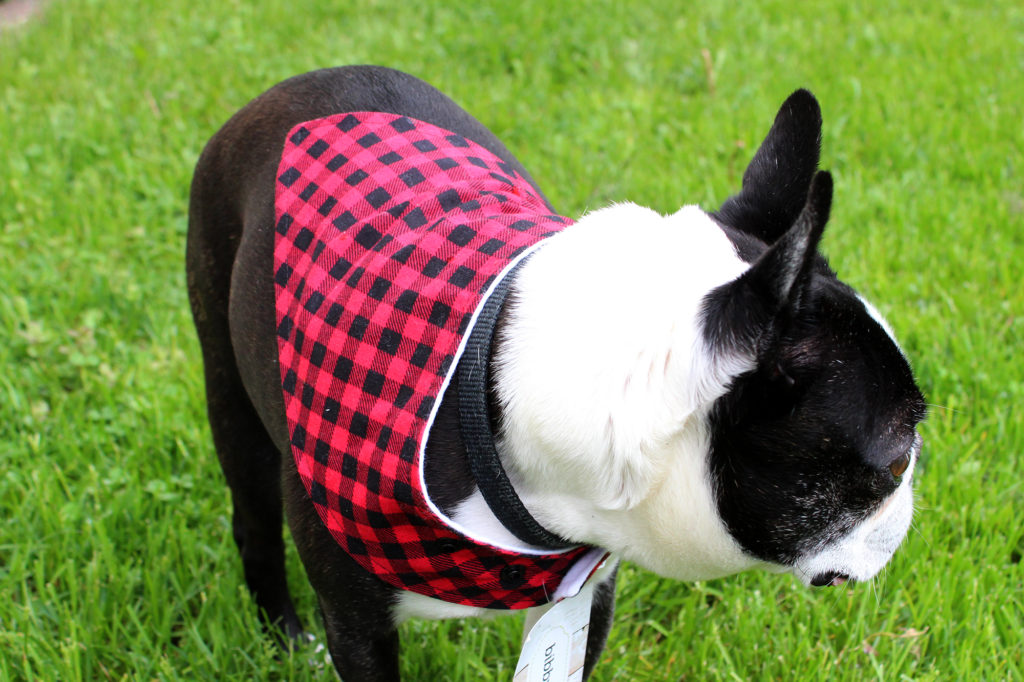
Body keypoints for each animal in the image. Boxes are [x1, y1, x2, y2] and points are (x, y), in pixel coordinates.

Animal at [186, 65, 929, 679]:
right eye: (896, 462)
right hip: (227, 380)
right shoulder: (358, 628)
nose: (913, 506)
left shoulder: (585, 599)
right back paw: (285, 638)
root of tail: (297, 85)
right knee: (253, 518)